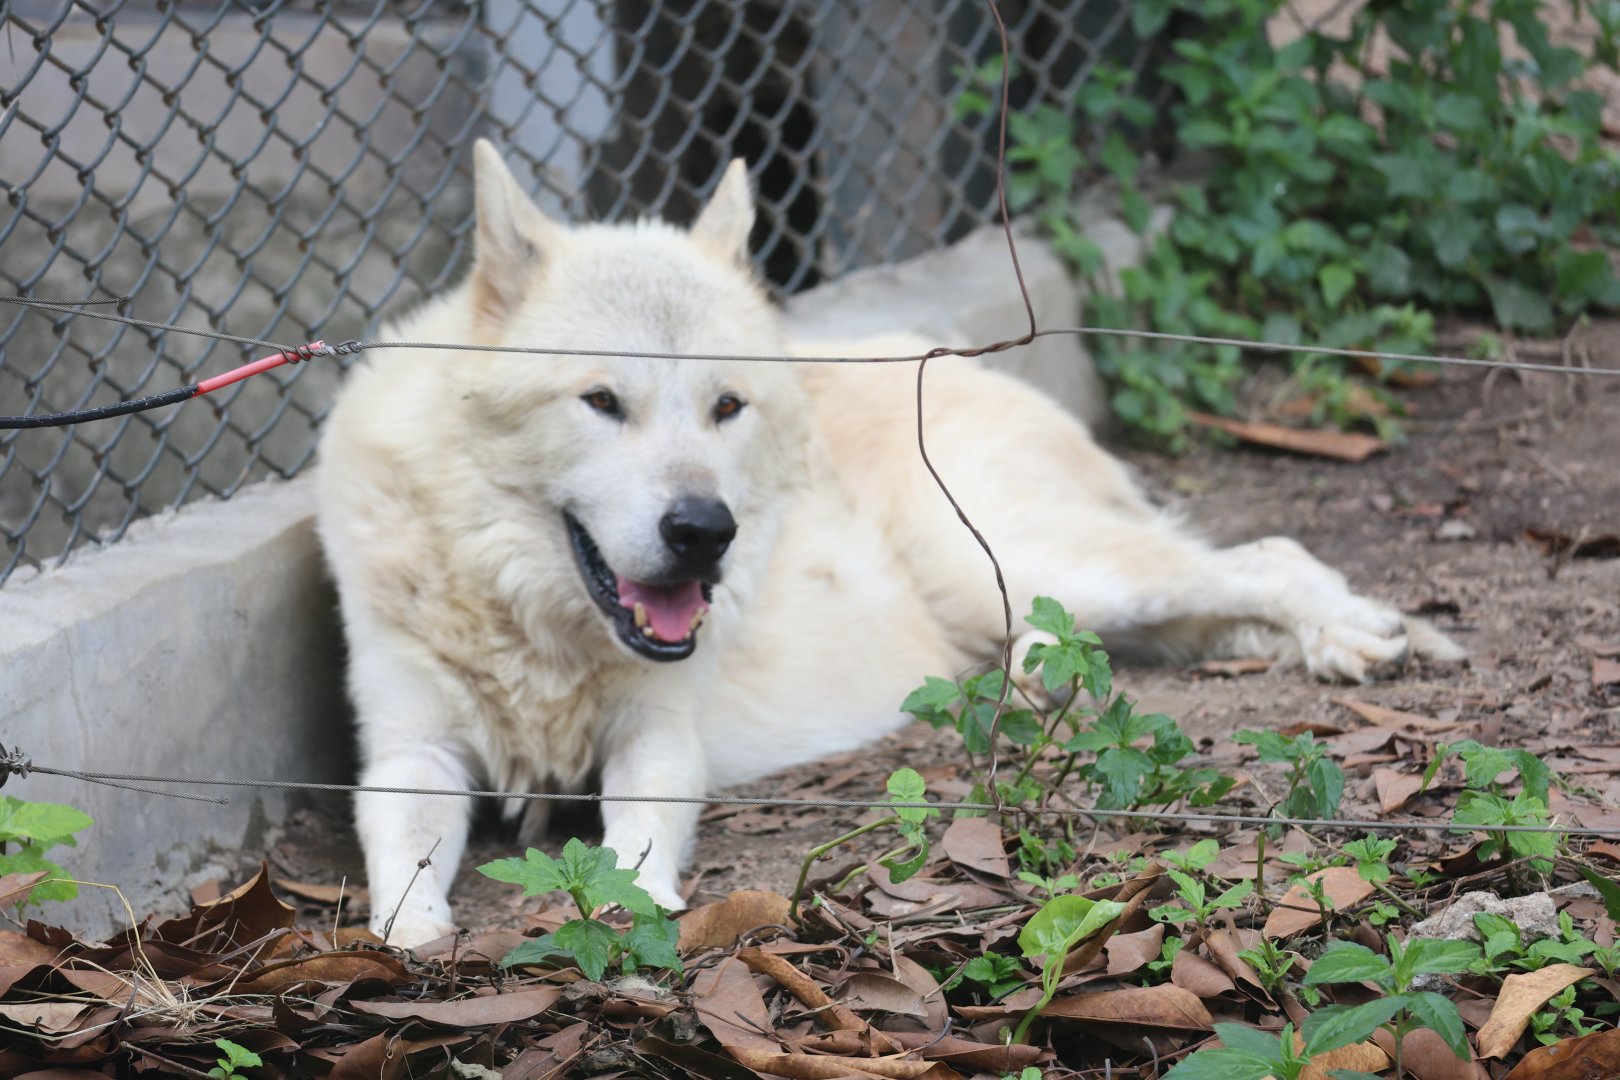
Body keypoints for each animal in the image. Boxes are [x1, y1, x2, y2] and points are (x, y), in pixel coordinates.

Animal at [316, 139, 1460, 946]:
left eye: (725, 406)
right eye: (601, 402)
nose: (705, 532)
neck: (539, 626)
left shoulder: (661, 739)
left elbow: (633, 847)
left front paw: (632, 906)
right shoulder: (413, 753)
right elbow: (399, 860)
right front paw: (405, 937)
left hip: (1040, 569)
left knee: (1266, 554)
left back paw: (1360, 638)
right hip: (1042, 601)